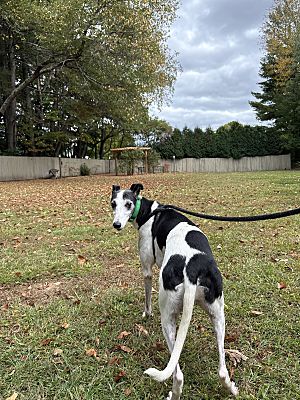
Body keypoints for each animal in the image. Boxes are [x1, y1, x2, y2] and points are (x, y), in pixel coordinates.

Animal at [110, 183, 239, 398]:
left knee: (177, 375)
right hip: (218, 315)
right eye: (113, 203)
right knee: (222, 370)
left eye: (128, 204)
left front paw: (146, 314)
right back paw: (232, 388)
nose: (117, 225)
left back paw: (174, 394)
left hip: (168, 320)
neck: (150, 212)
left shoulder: (147, 269)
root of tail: (191, 268)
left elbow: (147, 294)